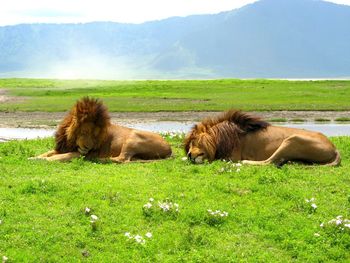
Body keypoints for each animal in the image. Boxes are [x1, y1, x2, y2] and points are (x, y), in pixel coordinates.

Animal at [32, 97, 172, 163]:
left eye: (95, 135)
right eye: (85, 132)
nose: (88, 147)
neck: (70, 140)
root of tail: (170, 148)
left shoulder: (80, 153)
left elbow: (59, 157)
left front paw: (43, 160)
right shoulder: (62, 147)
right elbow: (47, 153)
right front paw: (33, 157)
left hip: (133, 137)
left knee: (122, 159)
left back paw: (100, 159)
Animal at [185, 110, 340, 166]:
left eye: (194, 141)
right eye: (189, 145)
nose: (189, 155)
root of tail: (335, 148)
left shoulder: (232, 156)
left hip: (292, 140)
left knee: (270, 162)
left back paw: (246, 162)